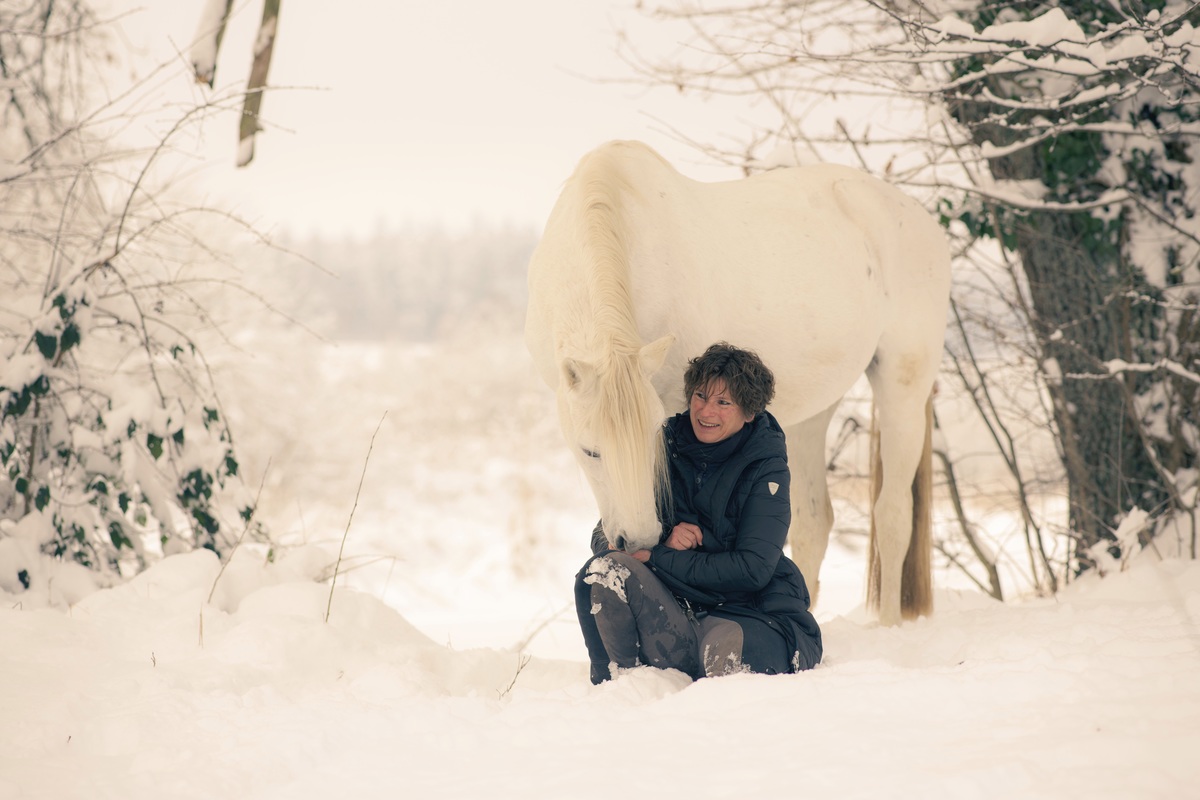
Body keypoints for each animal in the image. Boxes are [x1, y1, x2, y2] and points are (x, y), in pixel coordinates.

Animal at [525, 139, 945, 623]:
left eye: (653, 443)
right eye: (590, 451)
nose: (640, 539)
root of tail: (916, 215)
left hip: (903, 389)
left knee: (893, 515)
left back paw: (889, 625)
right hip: (814, 412)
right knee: (813, 523)